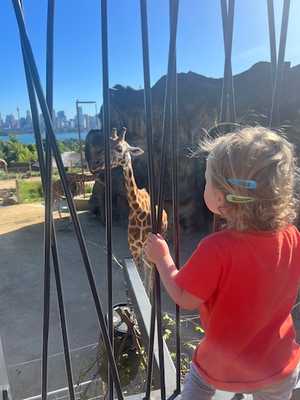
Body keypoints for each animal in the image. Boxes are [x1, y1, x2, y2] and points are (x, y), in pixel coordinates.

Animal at [88, 128, 169, 294]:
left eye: (119, 149)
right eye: (106, 145)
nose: (95, 164)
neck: (139, 210)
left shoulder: (147, 249)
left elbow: (146, 283)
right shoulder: (134, 249)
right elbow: (140, 281)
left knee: (152, 276)